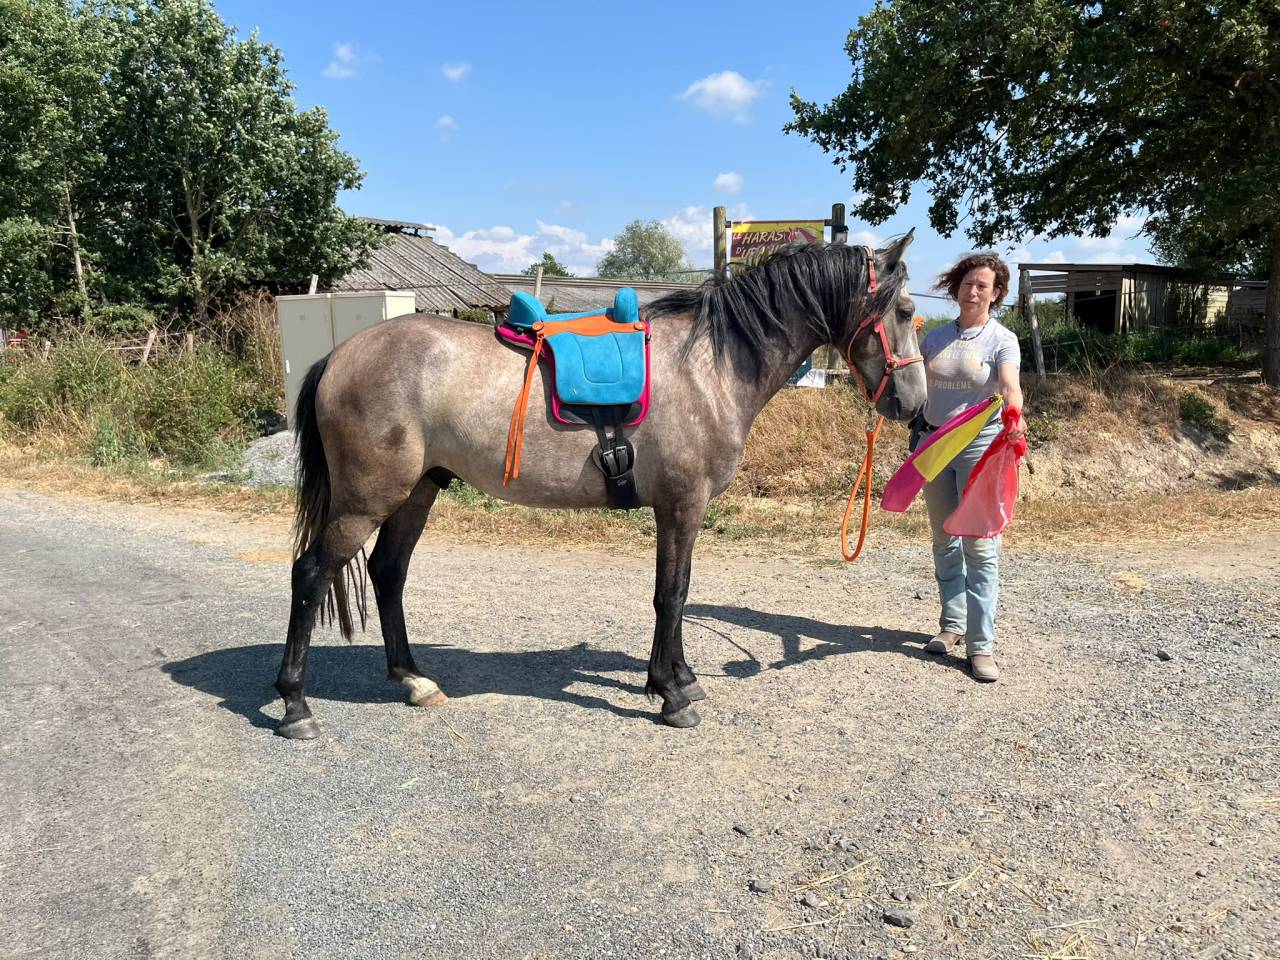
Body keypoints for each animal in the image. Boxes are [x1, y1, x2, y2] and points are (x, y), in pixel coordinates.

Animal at [276, 233, 927, 738]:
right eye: (903, 311)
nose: (913, 405)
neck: (712, 366)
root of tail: (338, 356)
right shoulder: (682, 505)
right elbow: (672, 595)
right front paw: (670, 695)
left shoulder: (678, 509)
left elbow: (676, 593)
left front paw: (680, 678)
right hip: (367, 500)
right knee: (310, 575)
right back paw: (295, 706)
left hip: (417, 492)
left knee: (387, 574)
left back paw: (412, 680)